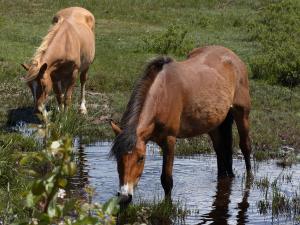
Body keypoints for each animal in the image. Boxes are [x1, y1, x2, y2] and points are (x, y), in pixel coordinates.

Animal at [110, 45, 251, 204]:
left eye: (141, 158)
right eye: (117, 156)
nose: (124, 196)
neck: (163, 94)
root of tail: (232, 56)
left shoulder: (169, 140)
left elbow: (166, 180)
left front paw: (167, 206)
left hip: (242, 114)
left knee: (245, 147)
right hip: (214, 123)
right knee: (221, 152)